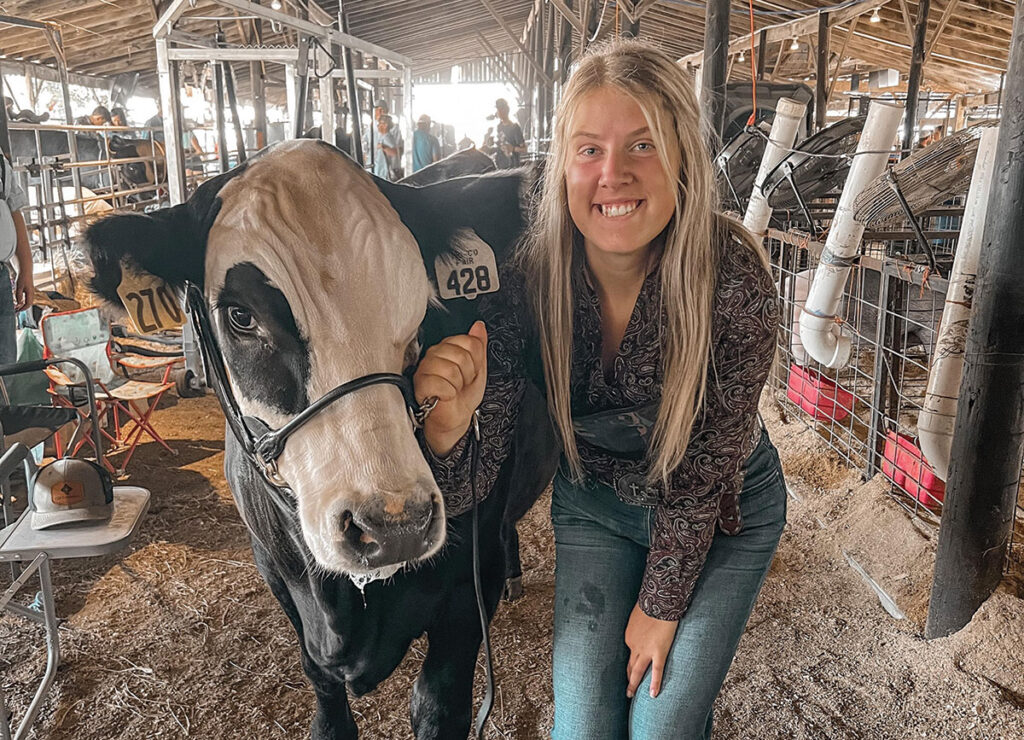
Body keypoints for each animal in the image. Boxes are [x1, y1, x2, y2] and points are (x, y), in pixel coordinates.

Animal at [82, 140, 557, 740]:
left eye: (421, 309)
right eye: (240, 316)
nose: (393, 526)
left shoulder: (470, 590)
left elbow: (436, 704)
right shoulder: (275, 571)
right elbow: (323, 696)